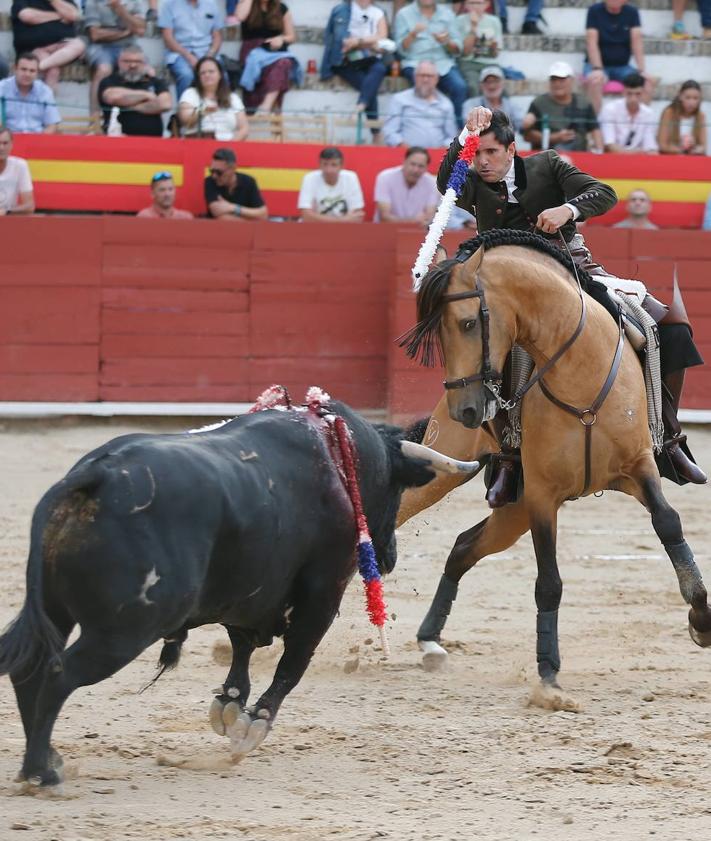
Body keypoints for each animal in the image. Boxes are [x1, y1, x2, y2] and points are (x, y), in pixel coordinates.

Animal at [0, 400, 478, 788]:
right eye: (397, 487)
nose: (390, 555)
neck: (340, 456)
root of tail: (94, 475)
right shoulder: (322, 597)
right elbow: (291, 665)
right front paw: (252, 726)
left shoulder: (249, 593)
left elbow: (242, 648)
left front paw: (230, 706)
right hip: (123, 631)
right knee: (59, 673)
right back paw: (41, 772)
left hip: (58, 612)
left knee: (30, 670)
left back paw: (44, 761)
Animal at [398, 228, 708, 704]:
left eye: (468, 323)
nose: (466, 411)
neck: (580, 370)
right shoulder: (544, 494)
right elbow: (549, 580)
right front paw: (547, 671)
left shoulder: (638, 468)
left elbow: (669, 523)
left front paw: (701, 618)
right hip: (456, 469)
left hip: (513, 507)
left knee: (463, 547)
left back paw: (431, 640)